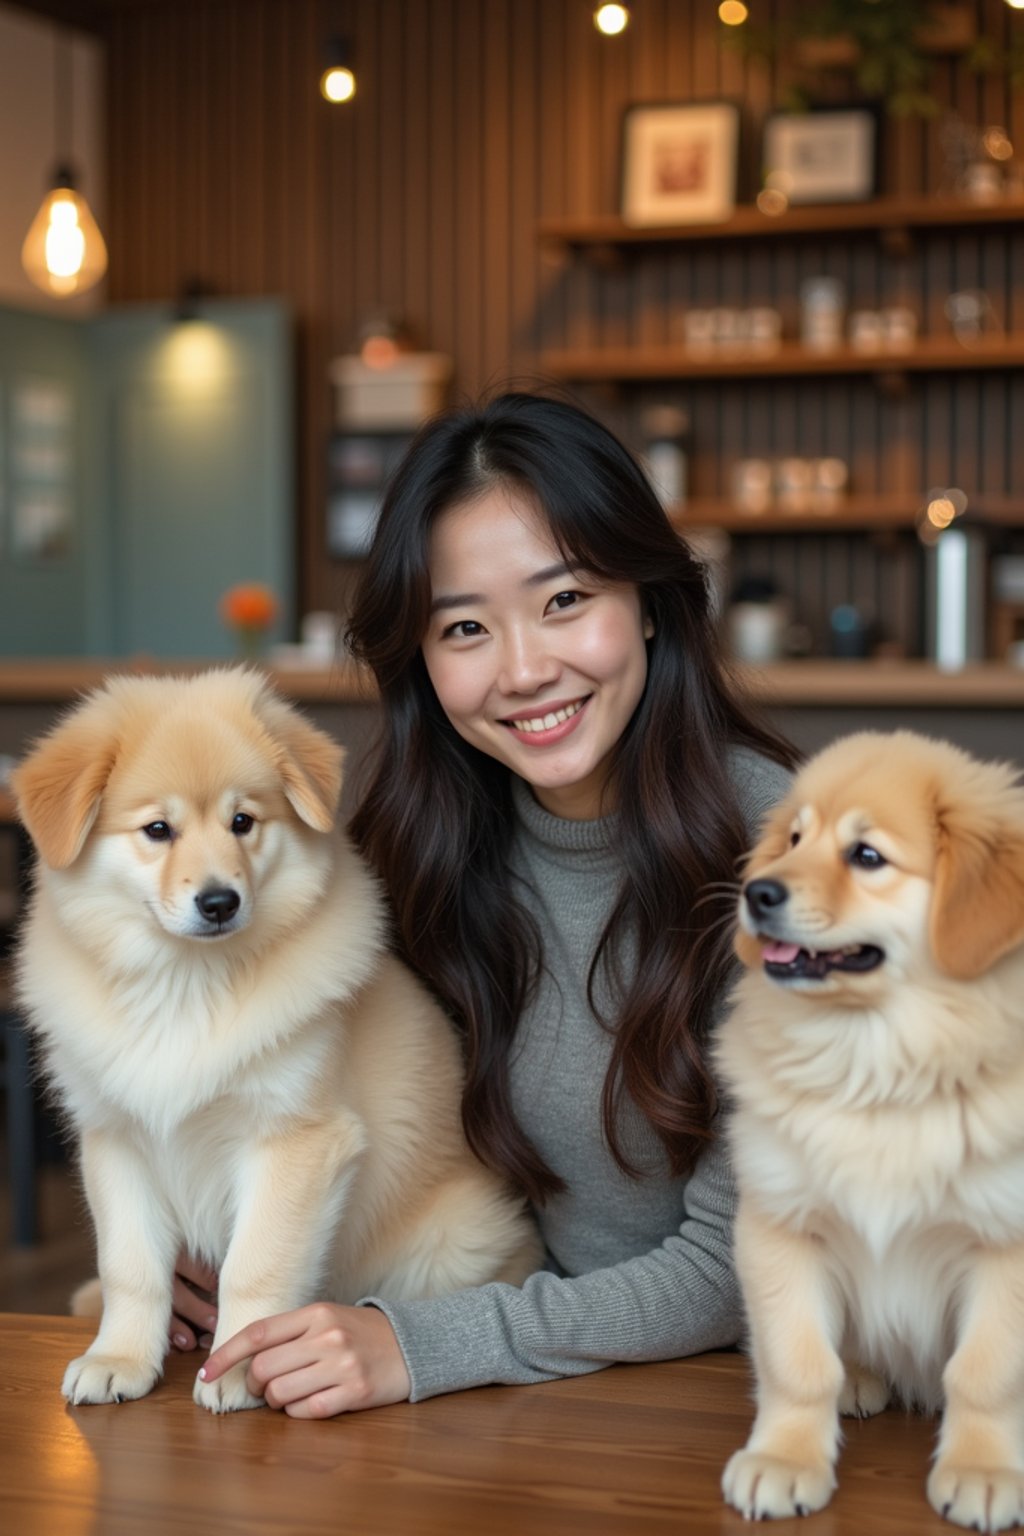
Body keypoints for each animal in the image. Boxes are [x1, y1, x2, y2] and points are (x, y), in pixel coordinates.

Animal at [11, 672, 540, 1413]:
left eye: (243, 822)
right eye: (157, 830)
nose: (219, 902)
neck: (186, 985)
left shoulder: (296, 1139)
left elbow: (255, 1267)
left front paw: (234, 1368)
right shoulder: (116, 1139)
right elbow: (128, 1268)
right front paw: (119, 1359)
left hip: (455, 1241)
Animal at [718, 737, 1024, 1529]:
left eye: (866, 856)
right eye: (794, 839)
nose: (756, 892)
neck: (875, 1060)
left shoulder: (1007, 1246)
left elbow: (984, 1372)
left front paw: (982, 1471)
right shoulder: (779, 1225)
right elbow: (798, 1361)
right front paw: (784, 1460)